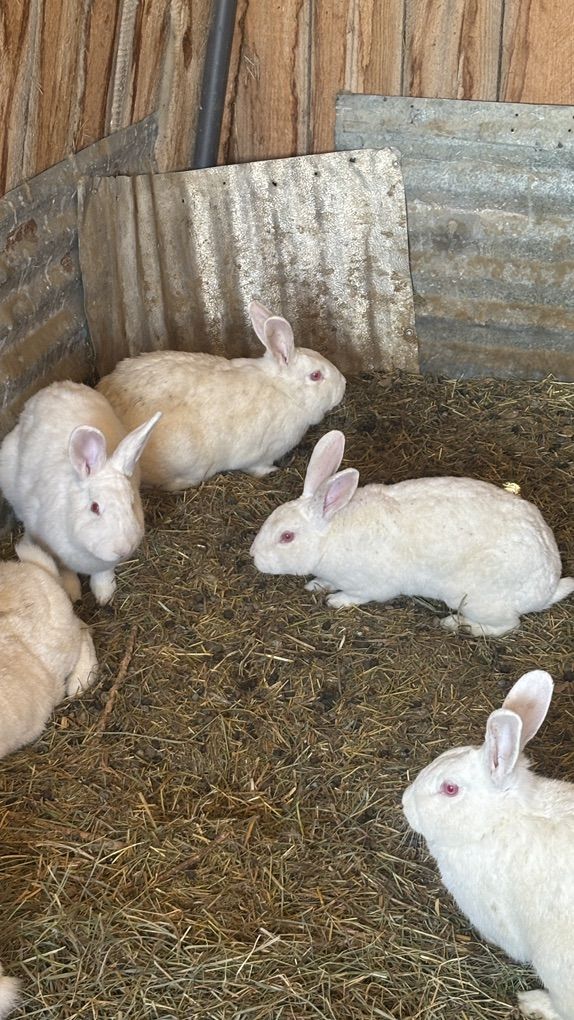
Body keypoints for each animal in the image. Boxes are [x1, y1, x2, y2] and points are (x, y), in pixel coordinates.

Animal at [0, 381, 161, 605]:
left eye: (132, 503)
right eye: (94, 507)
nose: (123, 549)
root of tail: (57, 386)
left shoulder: (104, 564)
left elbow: (104, 573)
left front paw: (104, 594)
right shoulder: (55, 551)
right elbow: (64, 570)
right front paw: (72, 592)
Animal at [96, 299, 346, 491]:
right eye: (316, 375)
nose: (343, 384)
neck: (285, 391)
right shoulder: (260, 455)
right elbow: (259, 468)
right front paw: (273, 471)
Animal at [249, 430, 574, 636]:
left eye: (287, 537)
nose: (254, 556)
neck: (330, 535)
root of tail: (547, 587)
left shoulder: (371, 586)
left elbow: (358, 595)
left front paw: (336, 601)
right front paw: (316, 586)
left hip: (477, 599)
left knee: (508, 625)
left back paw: (456, 624)